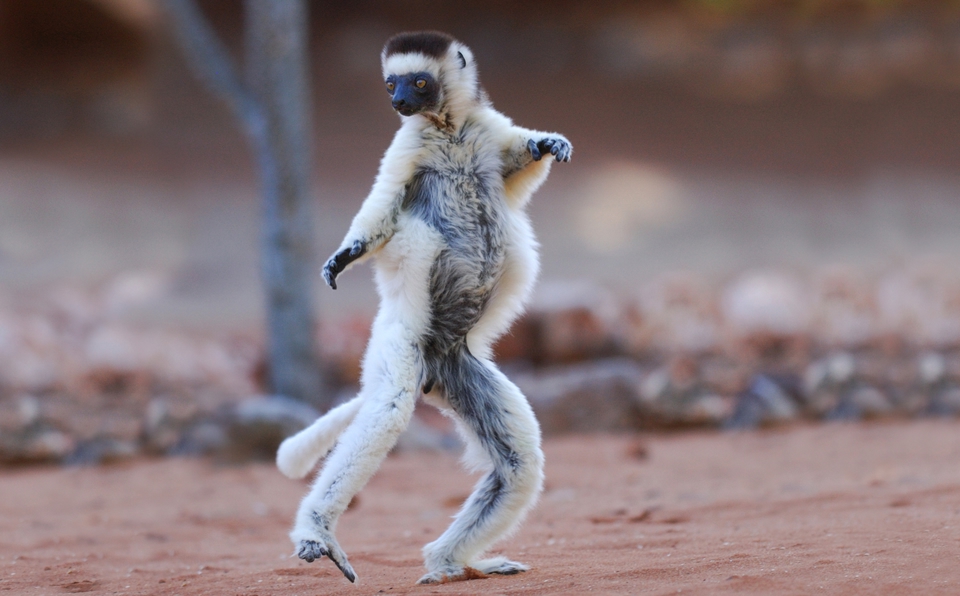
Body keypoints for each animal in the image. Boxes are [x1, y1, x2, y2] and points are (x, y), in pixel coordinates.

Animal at [276, 30, 571, 585]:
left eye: (418, 83)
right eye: (390, 83)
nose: (397, 103)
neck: (447, 128)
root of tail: (433, 367)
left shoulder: (485, 132)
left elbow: (516, 162)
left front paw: (545, 143)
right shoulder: (407, 147)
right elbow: (383, 208)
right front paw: (345, 255)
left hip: (460, 367)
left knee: (517, 466)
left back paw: (451, 562)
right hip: (399, 342)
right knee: (388, 409)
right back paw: (318, 530)